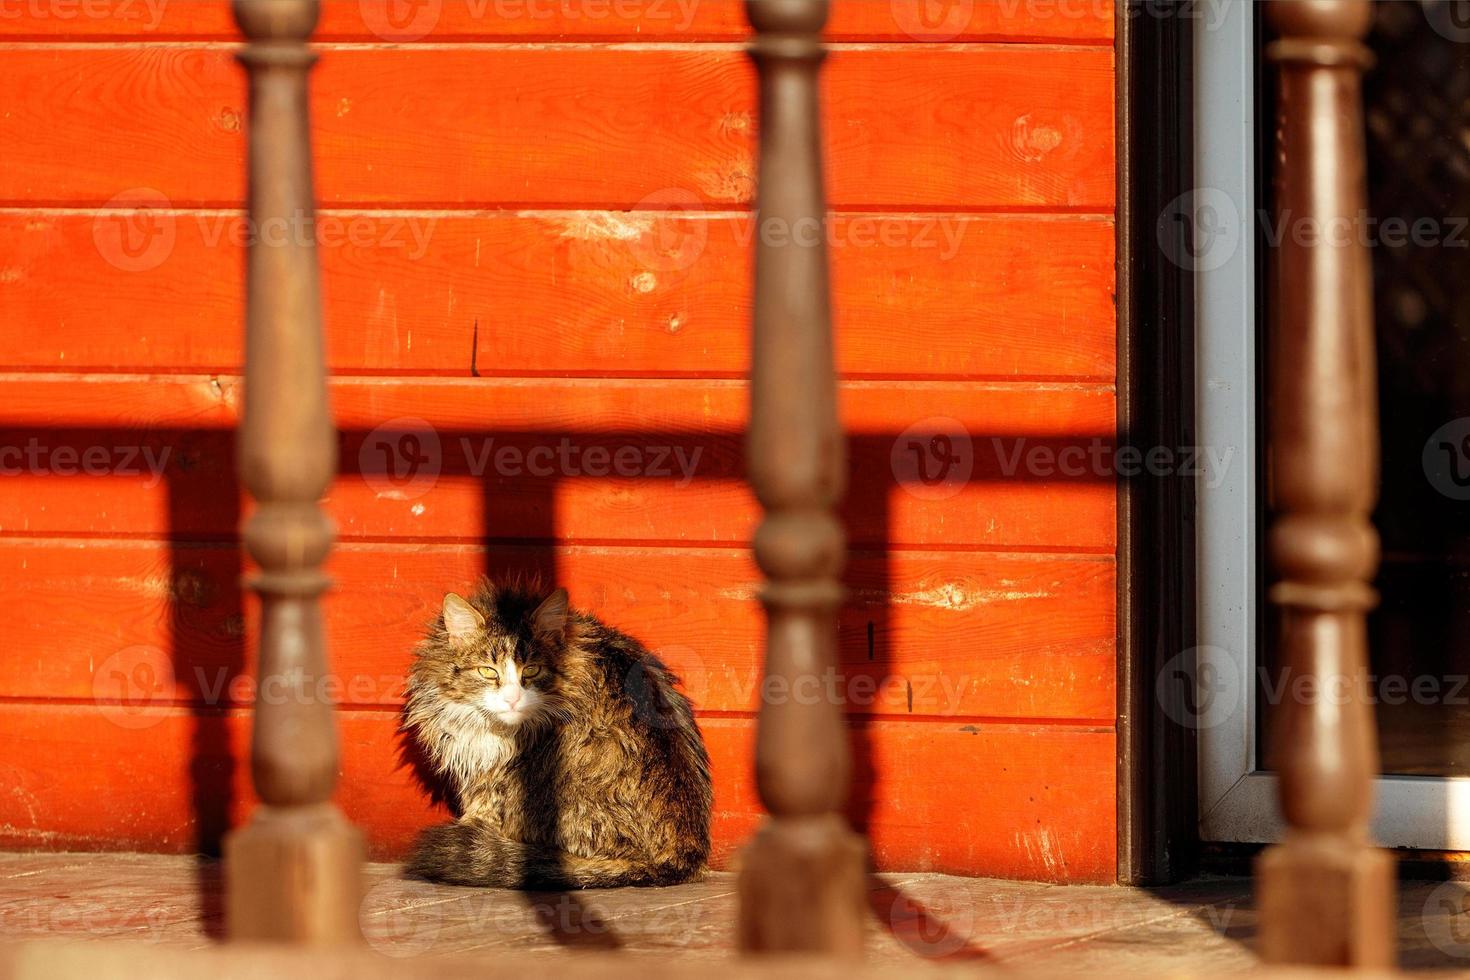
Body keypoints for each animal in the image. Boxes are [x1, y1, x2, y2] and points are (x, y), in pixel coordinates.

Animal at [402, 578, 711, 893]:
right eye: (487, 672)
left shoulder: (495, 777)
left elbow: (481, 813)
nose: (513, 699)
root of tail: (679, 860)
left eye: (532, 670)